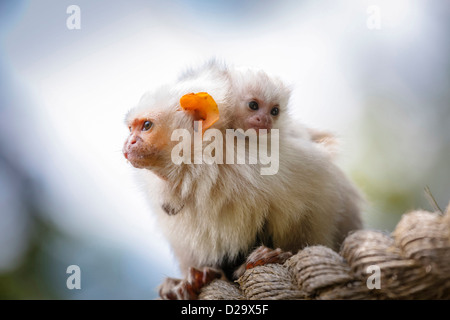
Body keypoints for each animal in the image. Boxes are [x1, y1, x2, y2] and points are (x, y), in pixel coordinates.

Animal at [123, 60, 362, 300]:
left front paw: (278, 254)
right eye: (131, 128)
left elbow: (318, 201)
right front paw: (193, 278)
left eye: (147, 126)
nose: (129, 143)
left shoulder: (291, 162)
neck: (208, 164)